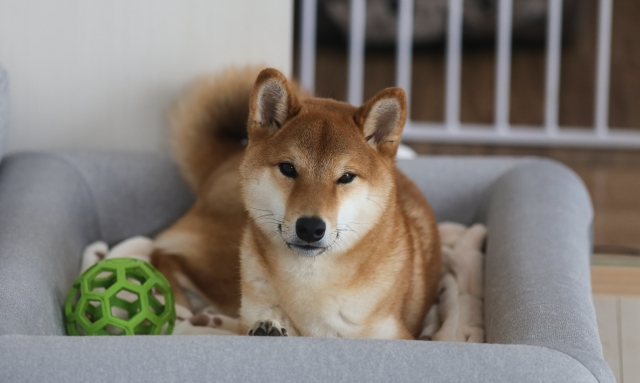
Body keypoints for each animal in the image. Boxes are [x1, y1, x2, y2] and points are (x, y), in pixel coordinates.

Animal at [151, 67, 440, 340]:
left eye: (346, 177)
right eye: (288, 168)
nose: (310, 228)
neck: (309, 282)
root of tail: (226, 159)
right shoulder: (250, 312)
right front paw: (272, 324)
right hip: (224, 267)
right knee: (162, 253)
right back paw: (180, 307)